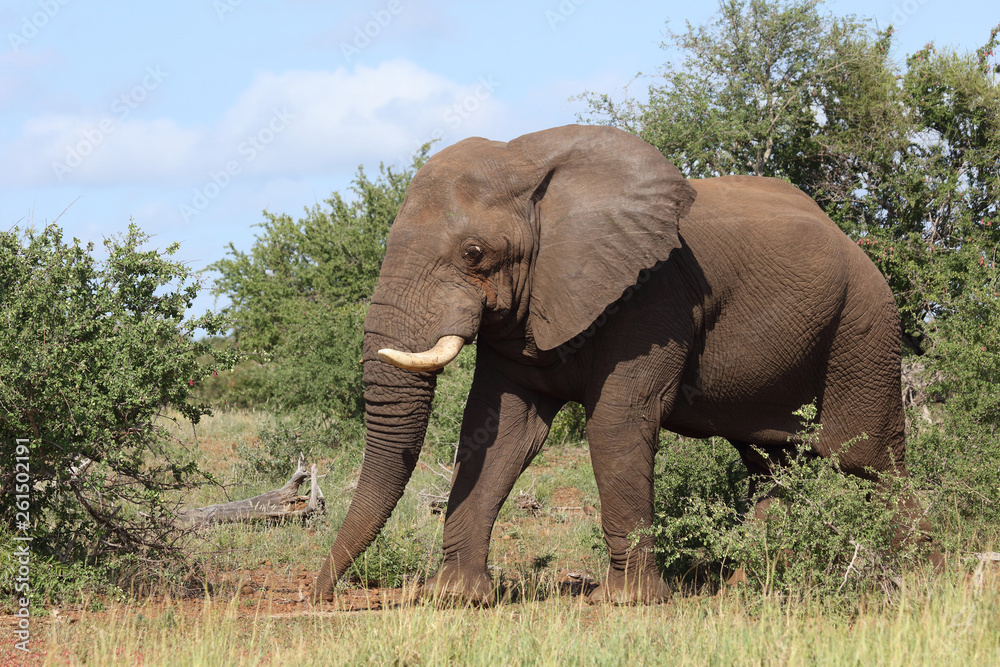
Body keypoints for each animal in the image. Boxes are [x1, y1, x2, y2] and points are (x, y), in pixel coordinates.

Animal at [312, 124, 920, 604]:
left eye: (474, 254)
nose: (320, 593)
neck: (529, 162)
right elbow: (497, 433)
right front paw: (458, 598)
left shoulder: (653, 297)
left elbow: (616, 425)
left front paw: (627, 602)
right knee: (776, 465)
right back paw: (746, 586)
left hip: (863, 330)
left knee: (874, 461)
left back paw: (917, 582)